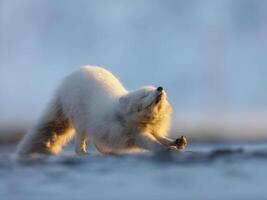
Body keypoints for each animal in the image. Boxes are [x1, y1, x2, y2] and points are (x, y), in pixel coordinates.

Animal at [15, 66, 187, 157]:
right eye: (144, 94)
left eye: (153, 89)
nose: (160, 88)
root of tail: (63, 84)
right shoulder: (135, 133)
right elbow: (151, 142)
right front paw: (167, 149)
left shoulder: (150, 129)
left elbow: (160, 137)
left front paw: (177, 141)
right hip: (81, 118)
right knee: (81, 139)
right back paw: (84, 152)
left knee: (98, 142)